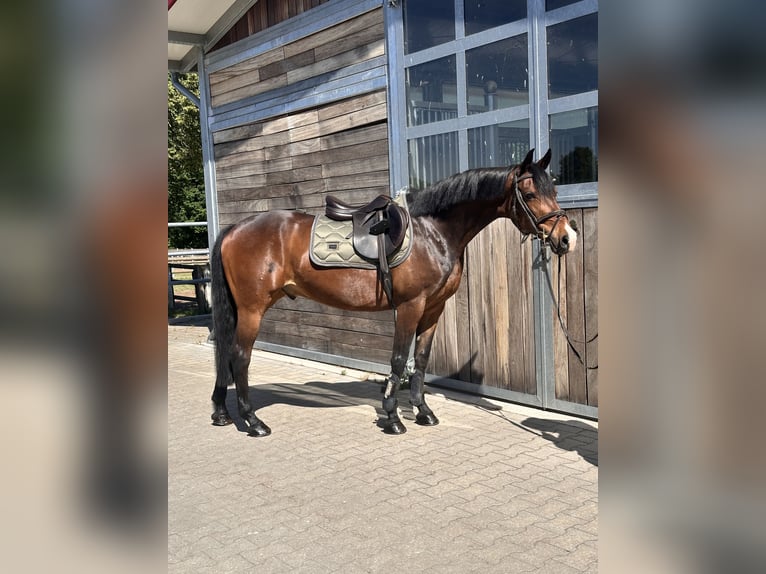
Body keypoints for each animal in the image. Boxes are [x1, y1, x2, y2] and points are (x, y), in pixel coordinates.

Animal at [209, 148, 577, 436]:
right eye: (530, 195)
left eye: (554, 190)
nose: (566, 238)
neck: (433, 231)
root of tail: (235, 229)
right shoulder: (411, 305)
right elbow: (400, 358)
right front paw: (392, 417)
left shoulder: (433, 309)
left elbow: (422, 359)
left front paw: (423, 412)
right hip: (252, 309)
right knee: (239, 356)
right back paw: (253, 422)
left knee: (225, 352)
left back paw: (222, 413)